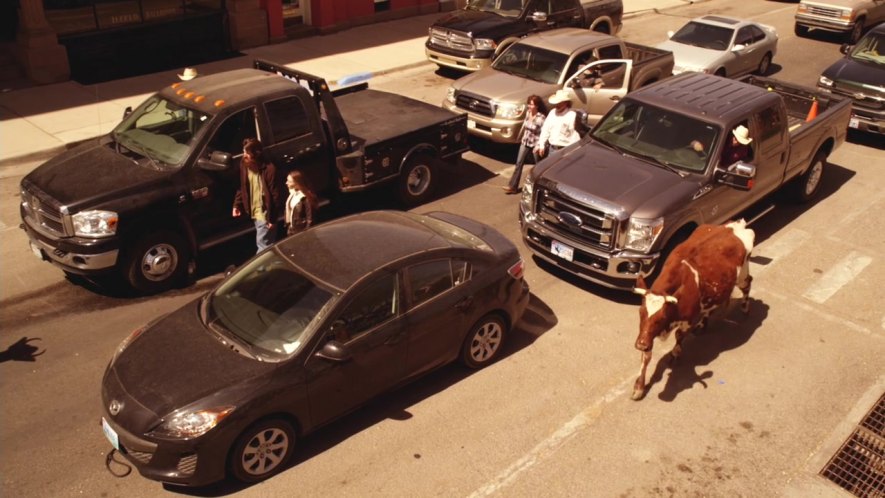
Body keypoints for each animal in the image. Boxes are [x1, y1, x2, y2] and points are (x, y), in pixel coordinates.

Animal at [628, 220, 752, 398]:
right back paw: (702, 325)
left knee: (747, 284)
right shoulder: (646, 333)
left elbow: (679, 336)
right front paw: (638, 387)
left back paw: (745, 308)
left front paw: (675, 353)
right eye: (641, 313)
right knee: (710, 307)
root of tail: (733, 225)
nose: (640, 344)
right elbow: (646, 357)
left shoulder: (687, 319)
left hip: (742, 273)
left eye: (661, 317)